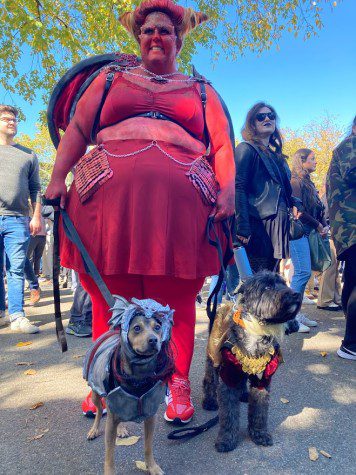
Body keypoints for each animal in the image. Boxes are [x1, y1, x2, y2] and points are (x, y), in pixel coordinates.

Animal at [82, 298, 174, 475]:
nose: (154, 340)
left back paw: (122, 429)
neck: (138, 377)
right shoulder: (110, 423)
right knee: (99, 410)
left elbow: (148, 447)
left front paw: (152, 467)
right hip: (96, 393)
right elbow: (109, 456)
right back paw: (93, 430)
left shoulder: (150, 417)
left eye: (157, 327)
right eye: (137, 328)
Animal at [203, 272, 300, 454]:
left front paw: (259, 434)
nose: (296, 294)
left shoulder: (262, 380)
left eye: (284, 283)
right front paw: (226, 439)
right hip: (213, 357)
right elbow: (228, 415)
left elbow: (260, 412)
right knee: (209, 380)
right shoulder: (228, 378)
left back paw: (242, 394)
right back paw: (209, 402)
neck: (257, 331)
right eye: (267, 286)